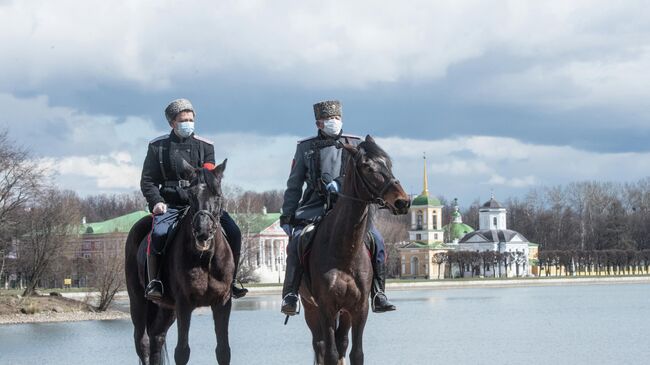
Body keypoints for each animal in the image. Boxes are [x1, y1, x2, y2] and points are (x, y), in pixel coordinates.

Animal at [124, 159, 233, 364]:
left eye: (217, 194)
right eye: (190, 195)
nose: (203, 232)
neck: (205, 259)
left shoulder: (222, 303)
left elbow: (223, 351)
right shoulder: (184, 304)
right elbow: (182, 351)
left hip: (167, 308)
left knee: (157, 337)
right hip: (138, 302)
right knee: (142, 342)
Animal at [298, 135, 408, 362]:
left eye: (388, 164)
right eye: (366, 166)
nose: (403, 201)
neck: (344, 253)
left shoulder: (359, 309)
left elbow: (356, 353)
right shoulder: (326, 308)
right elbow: (330, 354)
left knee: (341, 342)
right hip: (310, 307)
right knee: (319, 344)